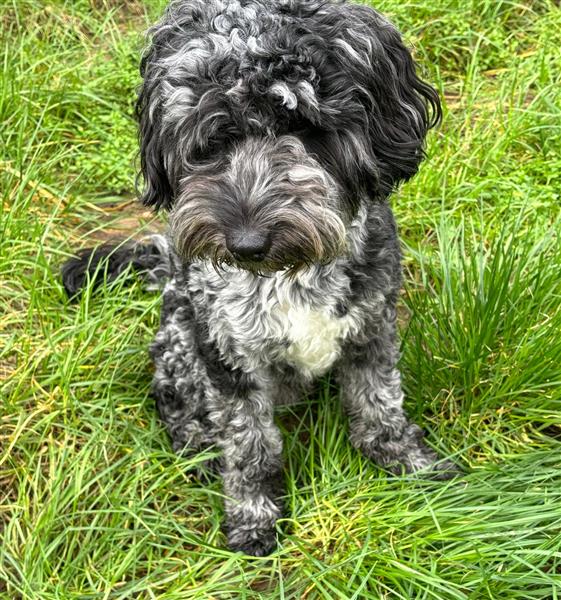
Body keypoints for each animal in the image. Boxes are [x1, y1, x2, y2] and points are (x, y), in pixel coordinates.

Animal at [63, 0, 458, 556]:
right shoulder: (228, 355)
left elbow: (380, 401)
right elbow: (250, 443)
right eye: (211, 138)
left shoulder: (372, 324)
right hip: (180, 337)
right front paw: (253, 516)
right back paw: (197, 448)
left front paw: (407, 461)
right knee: (172, 398)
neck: (289, 272)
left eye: (302, 124)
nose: (245, 243)